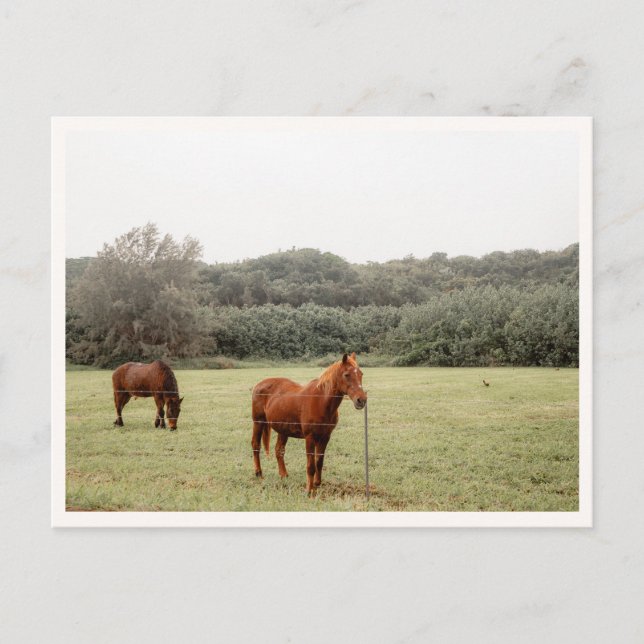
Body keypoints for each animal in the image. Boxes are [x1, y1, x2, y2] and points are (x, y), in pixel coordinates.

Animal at [251, 352, 367, 495]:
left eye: (361, 374)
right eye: (346, 374)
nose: (361, 400)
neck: (321, 401)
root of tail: (259, 384)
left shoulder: (325, 437)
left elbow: (319, 461)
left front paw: (317, 483)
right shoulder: (310, 437)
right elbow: (311, 465)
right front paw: (310, 490)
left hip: (283, 430)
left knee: (279, 450)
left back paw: (284, 475)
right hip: (258, 422)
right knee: (256, 445)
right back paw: (259, 473)